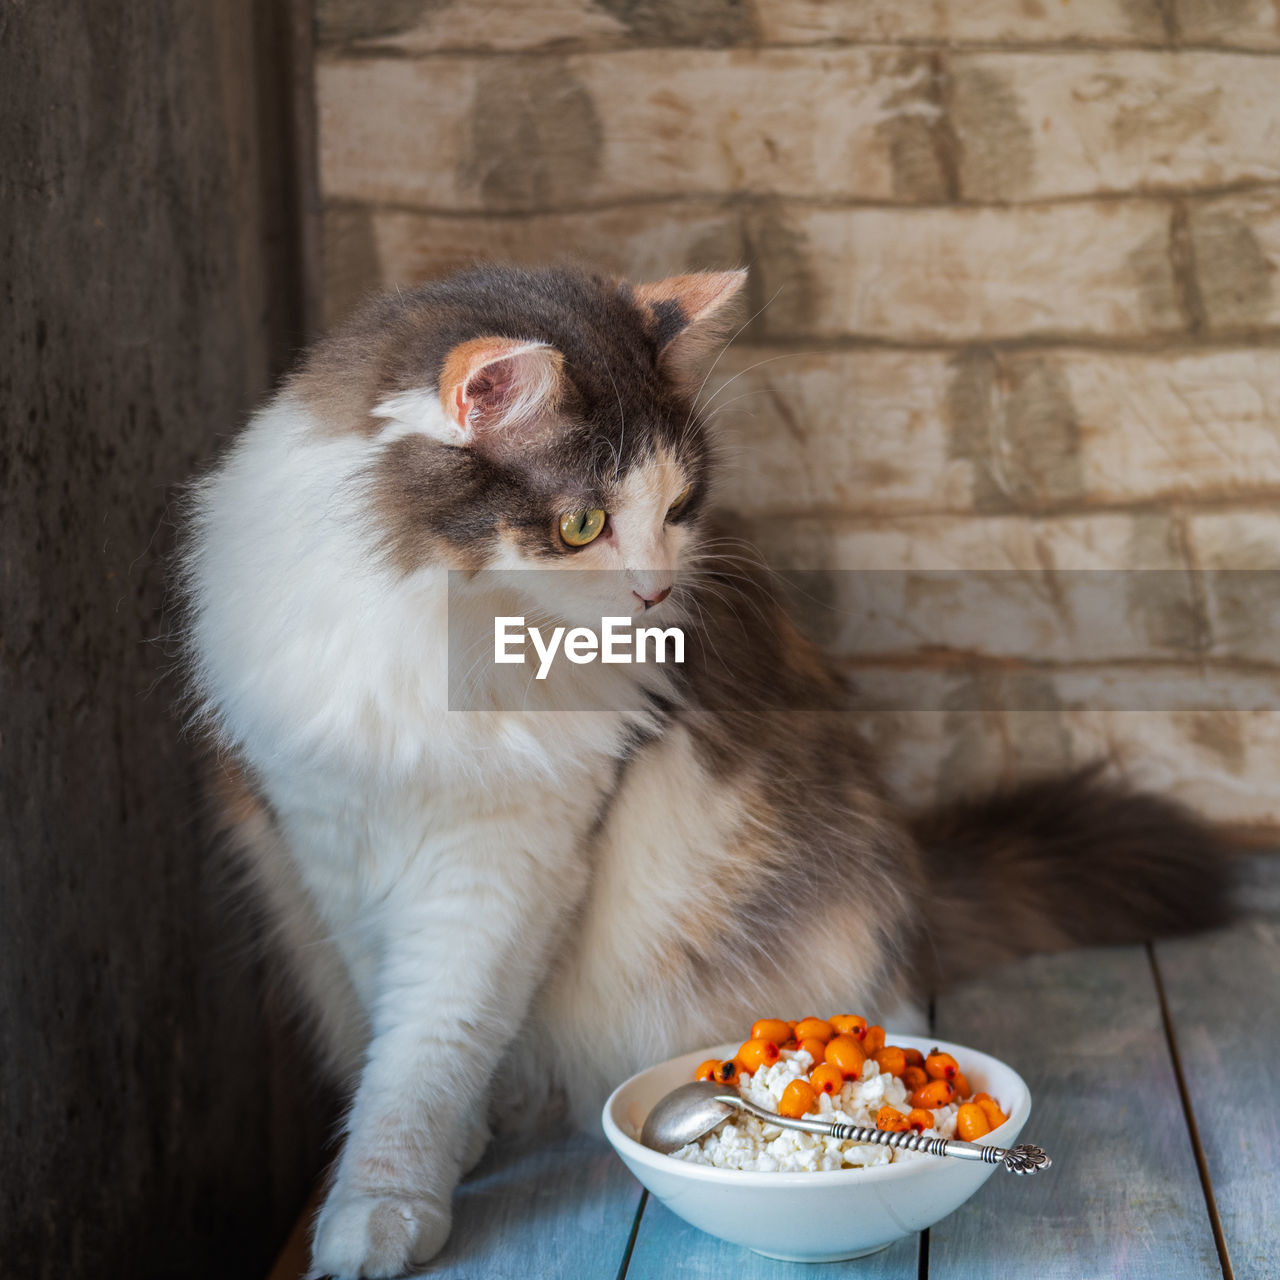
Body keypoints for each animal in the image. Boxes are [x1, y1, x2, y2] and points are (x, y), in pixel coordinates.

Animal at [180, 262, 1228, 1280]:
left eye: (679, 509)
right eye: (581, 524)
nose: (653, 594)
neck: (450, 639)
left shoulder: (508, 860)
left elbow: (434, 1037)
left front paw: (385, 1205)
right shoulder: (328, 837)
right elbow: (391, 1025)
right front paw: (433, 1161)